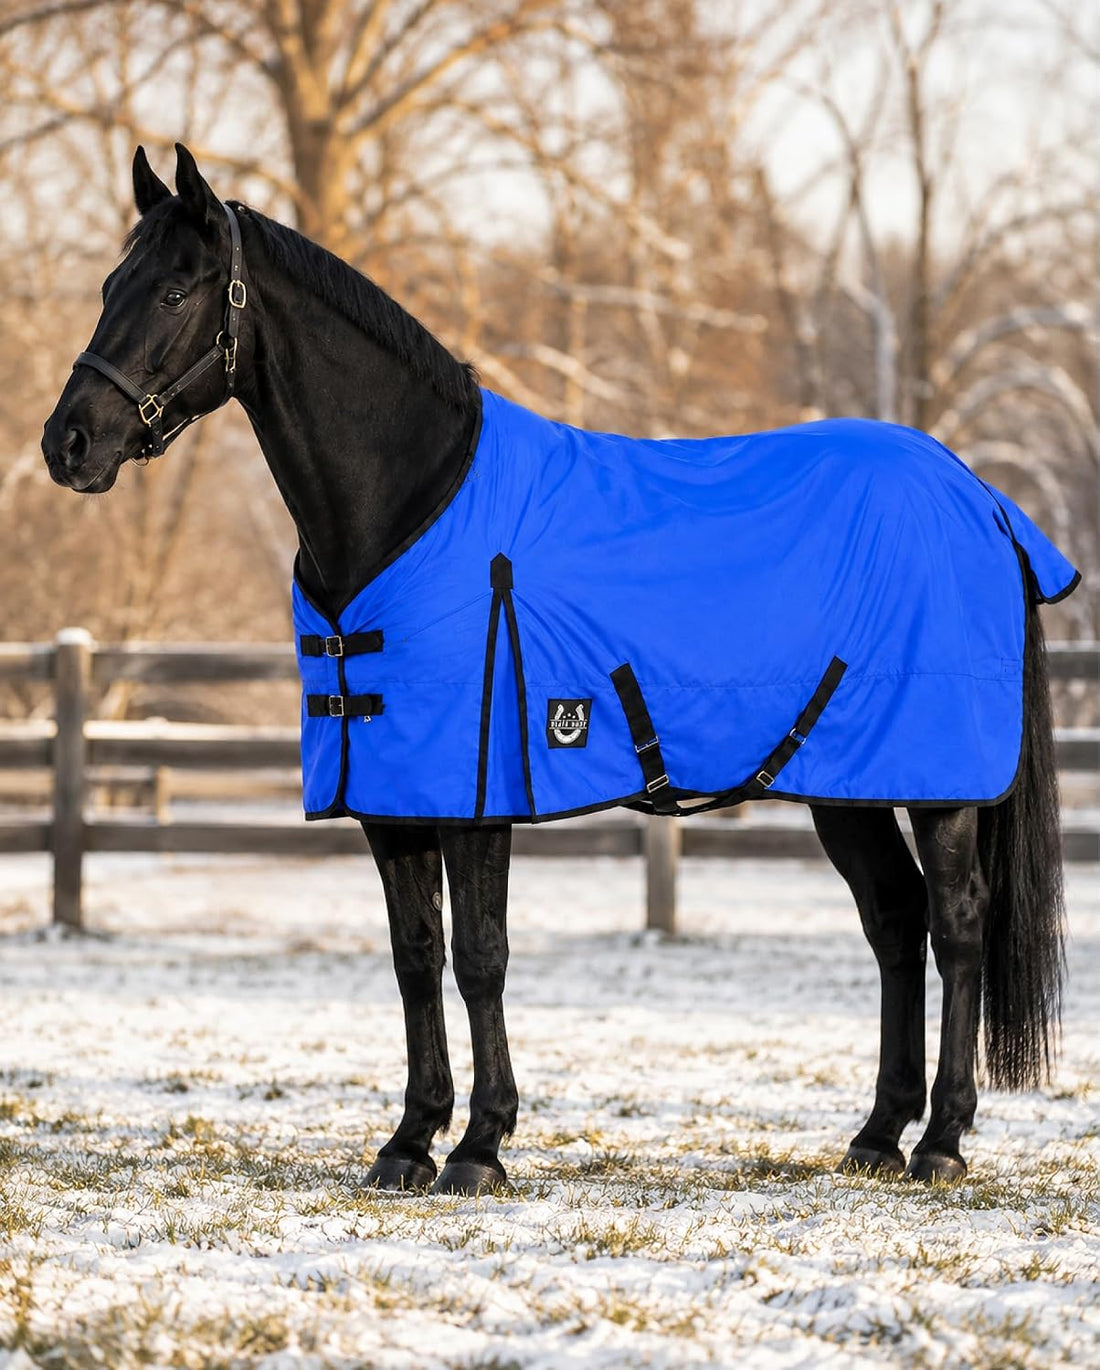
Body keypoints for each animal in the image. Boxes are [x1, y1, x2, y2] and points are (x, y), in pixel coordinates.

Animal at [42, 145, 1072, 1196]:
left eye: (174, 290)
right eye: (110, 285)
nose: (66, 443)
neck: (413, 502)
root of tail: (982, 499)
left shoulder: (475, 790)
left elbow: (479, 956)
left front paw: (480, 1147)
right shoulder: (390, 795)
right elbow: (414, 956)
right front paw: (408, 1141)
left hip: (941, 786)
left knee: (956, 924)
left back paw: (942, 1140)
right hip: (844, 781)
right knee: (894, 922)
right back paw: (876, 1135)